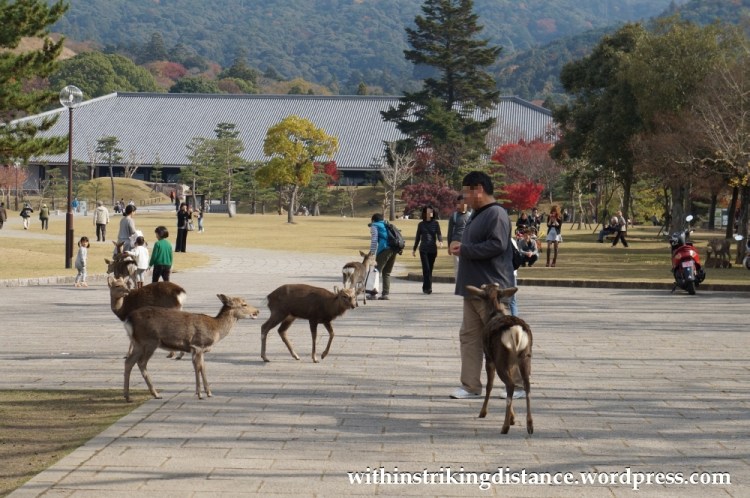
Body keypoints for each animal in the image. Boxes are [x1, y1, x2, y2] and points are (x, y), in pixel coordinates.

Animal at [123, 294, 260, 402]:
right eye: (244, 304)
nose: (257, 311)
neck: (216, 330)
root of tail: (128, 319)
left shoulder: (201, 350)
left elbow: (203, 368)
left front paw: (209, 392)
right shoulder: (197, 345)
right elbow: (198, 368)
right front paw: (200, 394)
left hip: (137, 343)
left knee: (129, 361)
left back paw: (128, 396)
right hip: (150, 341)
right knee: (141, 363)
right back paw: (155, 394)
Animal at [465, 283, 533, 435]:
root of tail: (516, 331)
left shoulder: (489, 358)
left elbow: (489, 385)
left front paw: (483, 412)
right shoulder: (511, 364)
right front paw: (513, 418)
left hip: (500, 358)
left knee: (510, 385)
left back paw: (505, 427)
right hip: (524, 356)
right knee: (526, 385)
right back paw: (530, 426)